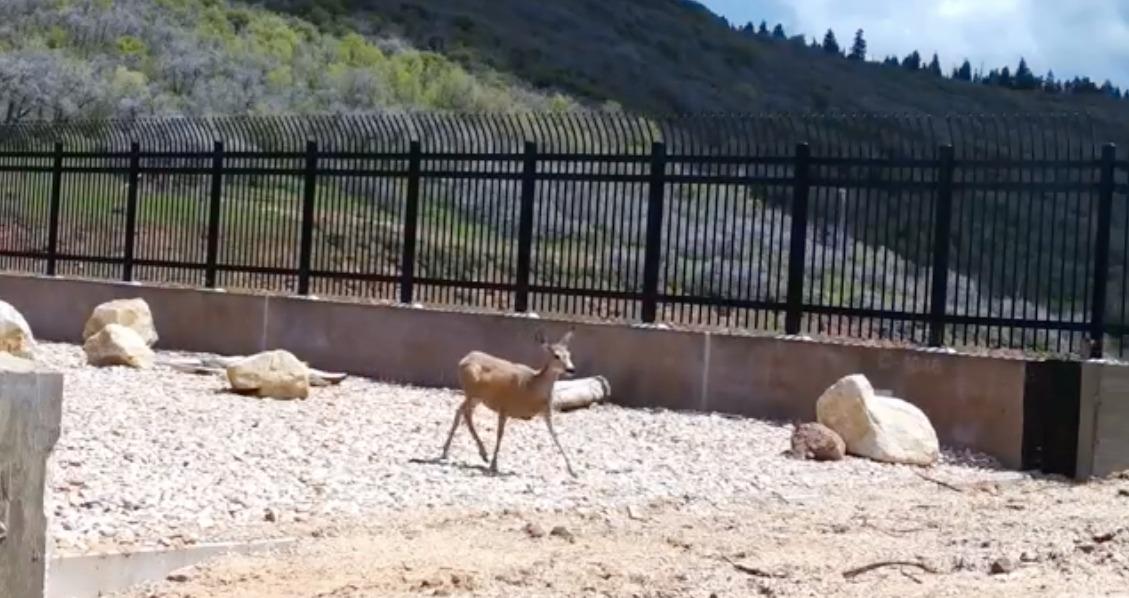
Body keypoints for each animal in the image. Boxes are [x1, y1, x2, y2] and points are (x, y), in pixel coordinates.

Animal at [439, 328, 579, 478]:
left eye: (569, 354)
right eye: (556, 355)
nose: (571, 369)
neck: (531, 387)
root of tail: (464, 359)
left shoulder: (546, 411)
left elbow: (555, 435)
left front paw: (573, 470)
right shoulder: (504, 406)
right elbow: (500, 434)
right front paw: (494, 465)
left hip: (476, 397)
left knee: (460, 411)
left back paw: (448, 452)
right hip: (471, 392)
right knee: (465, 413)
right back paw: (482, 453)